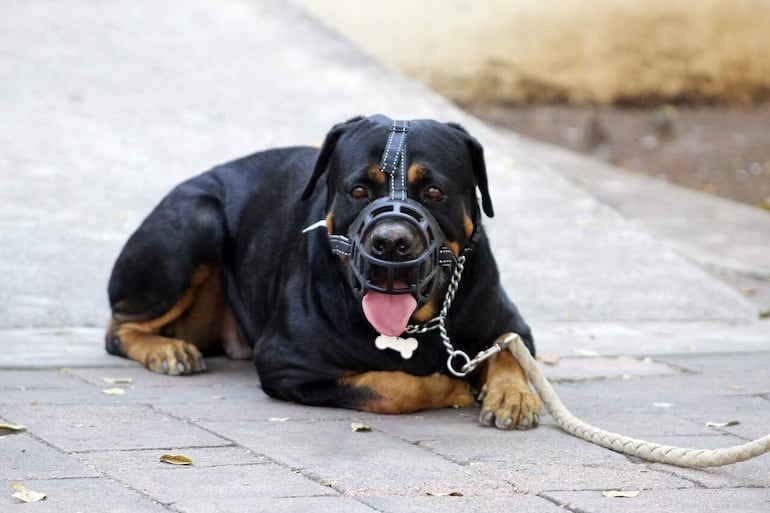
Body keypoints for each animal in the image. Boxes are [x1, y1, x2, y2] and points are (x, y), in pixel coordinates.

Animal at [105, 115, 540, 428]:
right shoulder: (287, 362)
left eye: (434, 192)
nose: (391, 242)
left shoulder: (508, 320)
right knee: (118, 329)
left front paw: (512, 395)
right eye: (359, 190)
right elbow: (392, 386)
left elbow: (509, 348)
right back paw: (166, 349)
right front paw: (451, 387)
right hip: (198, 219)